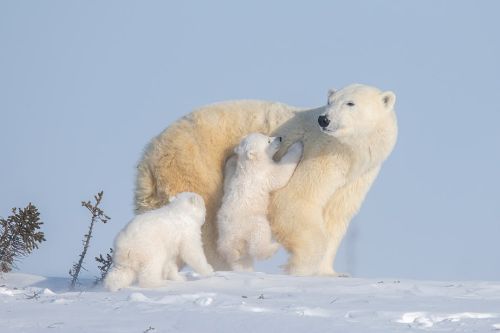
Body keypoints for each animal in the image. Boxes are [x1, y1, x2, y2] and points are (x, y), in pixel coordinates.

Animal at [136, 83, 398, 274]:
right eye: (329, 101)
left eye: (350, 103)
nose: (324, 119)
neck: (349, 151)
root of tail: (150, 154)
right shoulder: (320, 153)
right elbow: (293, 200)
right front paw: (299, 268)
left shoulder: (357, 175)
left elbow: (336, 214)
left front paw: (329, 273)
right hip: (194, 165)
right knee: (206, 225)